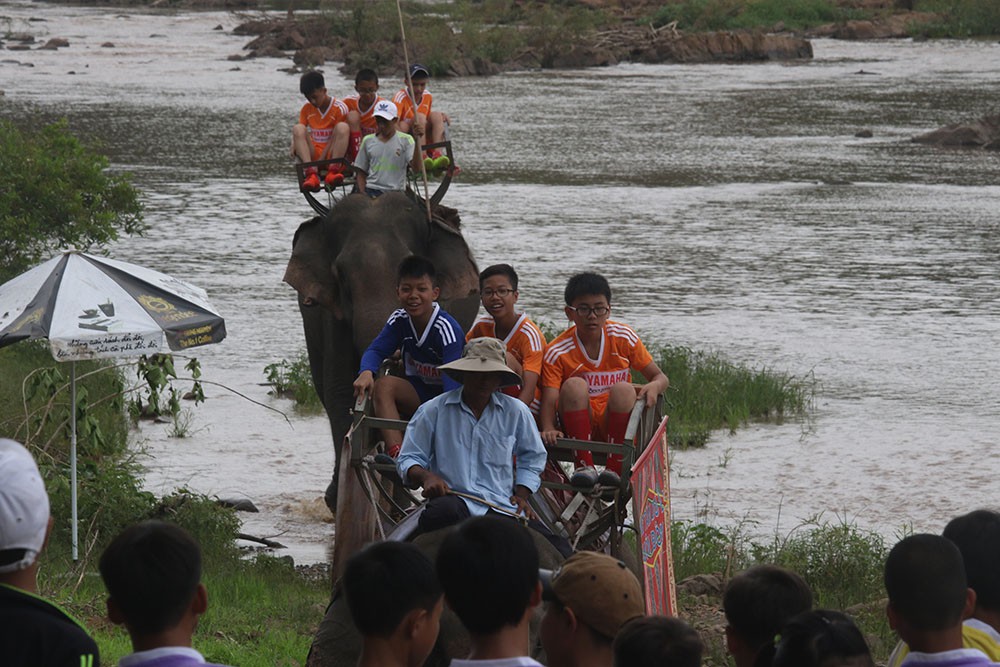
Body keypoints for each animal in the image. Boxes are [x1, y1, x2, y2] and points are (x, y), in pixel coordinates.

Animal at [284, 190, 482, 516]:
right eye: (340, 275)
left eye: (409, 266)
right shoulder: (331, 317)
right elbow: (340, 391)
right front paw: (340, 500)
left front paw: (397, 499)